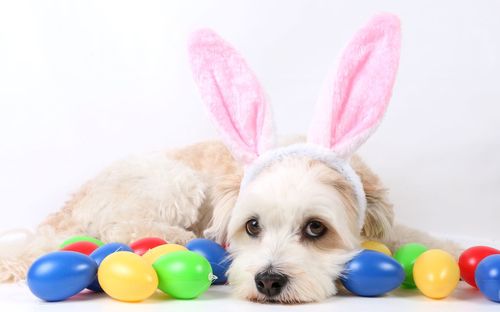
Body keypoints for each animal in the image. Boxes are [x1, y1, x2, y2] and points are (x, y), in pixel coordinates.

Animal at [0, 13, 460, 304]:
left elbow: (412, 235)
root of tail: (69, 206)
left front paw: (452, 248)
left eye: (316, 228)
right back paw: (177, 238)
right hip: (173, 179)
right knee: (123, 224)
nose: (269, 281)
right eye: (252, 226)